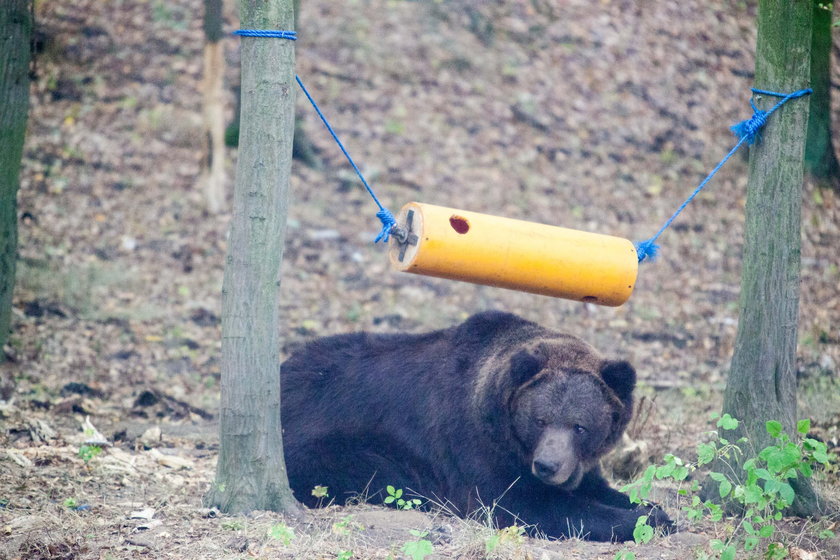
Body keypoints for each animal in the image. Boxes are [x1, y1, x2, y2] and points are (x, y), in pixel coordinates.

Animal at [278, 310, 672, 544]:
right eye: (540, 419)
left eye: (580, 426)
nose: (548, 466)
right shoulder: (473, 447)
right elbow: (525, 505)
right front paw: (646, 519)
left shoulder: (578, 462)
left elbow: (598, 488)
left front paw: (653, 509)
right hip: (329, 444)